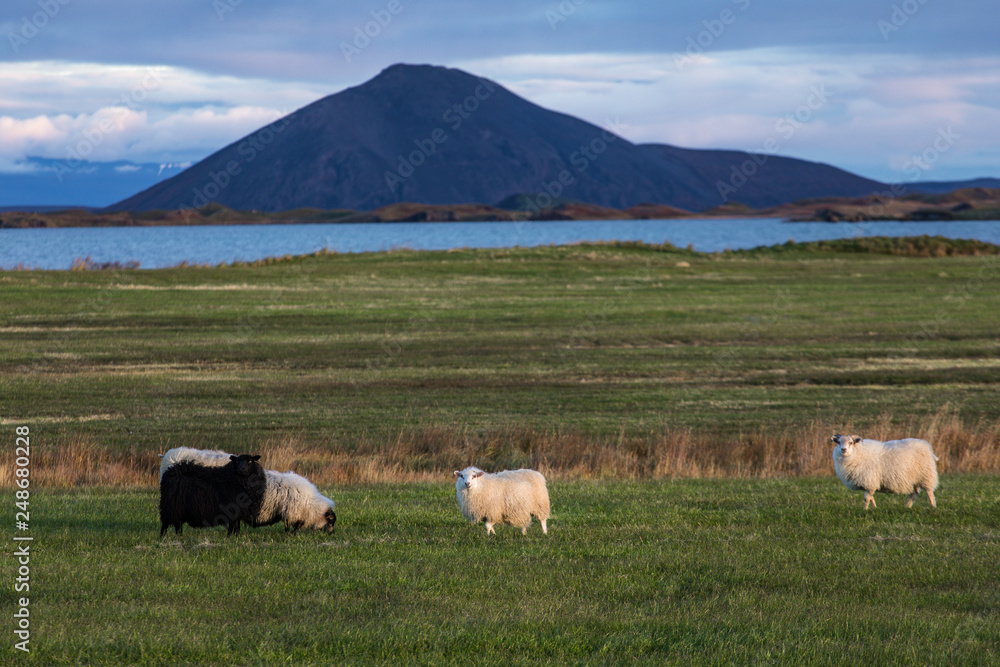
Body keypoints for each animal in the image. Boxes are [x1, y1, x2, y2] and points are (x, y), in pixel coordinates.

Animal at [159, 447, 336, 533]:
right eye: (331, 521)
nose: (332, 533)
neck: (312, 504)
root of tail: (168, 456)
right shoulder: (292, 511)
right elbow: (291, 527)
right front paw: (290, 535)